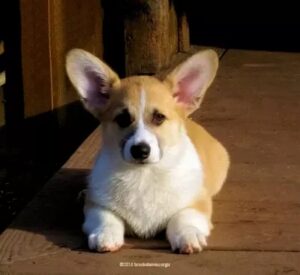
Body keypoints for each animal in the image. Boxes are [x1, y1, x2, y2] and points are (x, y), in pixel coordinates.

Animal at [65, 49, 230, 254]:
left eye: (159, 117)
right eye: (123, 119)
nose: (140, 150)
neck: (144, 174)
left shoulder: (197, 202)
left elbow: (182, 217)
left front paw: (188, 235)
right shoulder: (97, 204)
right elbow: (106, 217)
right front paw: (105, 235)